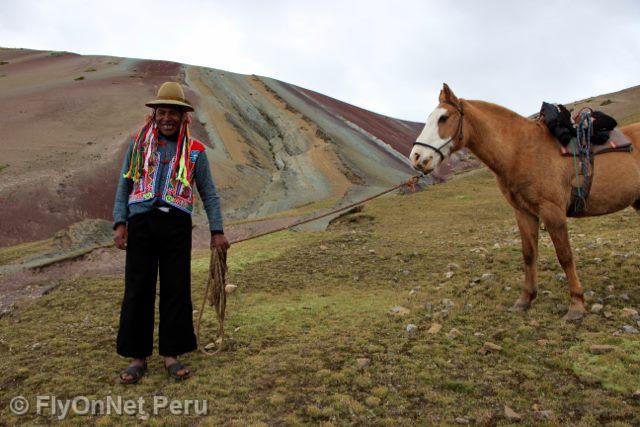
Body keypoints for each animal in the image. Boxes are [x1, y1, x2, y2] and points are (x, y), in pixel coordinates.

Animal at [410, 84, 640, 320]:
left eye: (444, 118)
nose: (417, 157)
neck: (521, 151)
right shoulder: (524, 212)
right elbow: (529, 255)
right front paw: (526, 299)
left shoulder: (552, 211)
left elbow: (565, 255)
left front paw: (576, 304)